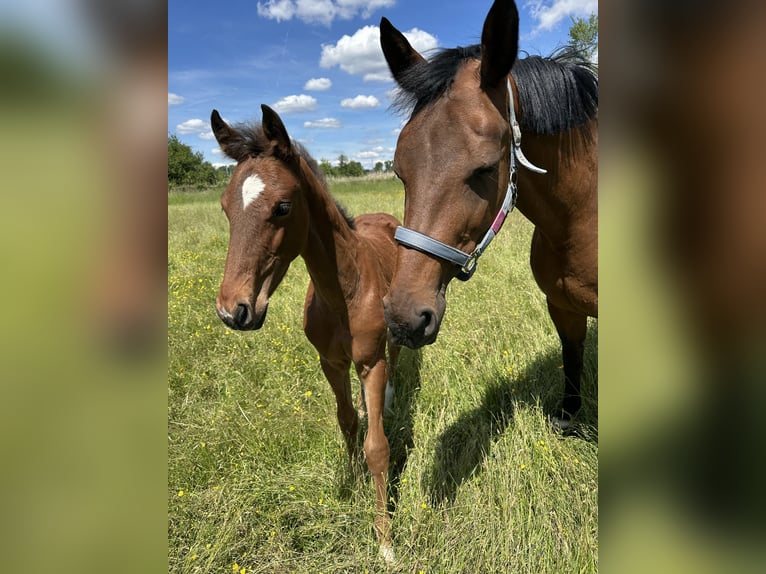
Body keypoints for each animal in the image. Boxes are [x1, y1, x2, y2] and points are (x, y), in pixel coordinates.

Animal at [211, 104, 401, 559]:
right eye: (225, 207)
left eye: (282, 207)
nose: (233, 310)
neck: (344, 291)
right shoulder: (330, 362)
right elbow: (347, 421)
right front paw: (353, 484)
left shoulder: (370, 363)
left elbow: (378, 447)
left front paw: (385, 540)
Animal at [379, 0, 597, 424]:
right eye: (399, 171)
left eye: (483, 169)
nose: (403, 319)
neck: (582, 222)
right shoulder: (562, 307)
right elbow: (573, 360)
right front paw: (568, 420)